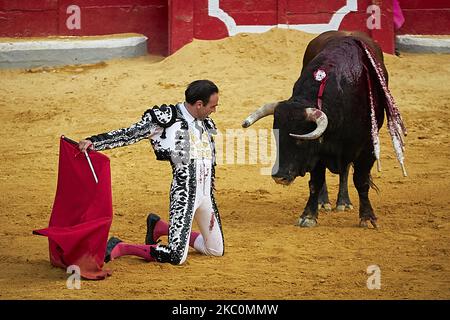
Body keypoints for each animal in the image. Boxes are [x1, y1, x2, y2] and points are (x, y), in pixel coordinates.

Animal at [243, 31, 408, 228]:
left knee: (346, 171)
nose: (279, 176)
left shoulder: (367, 147)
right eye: (277, 137)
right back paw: (324, 202)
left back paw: (343, 202)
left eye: (300, 139)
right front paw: (308, 215)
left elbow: (361, 181)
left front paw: (368, 217)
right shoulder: (318, 151)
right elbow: (316, 182)